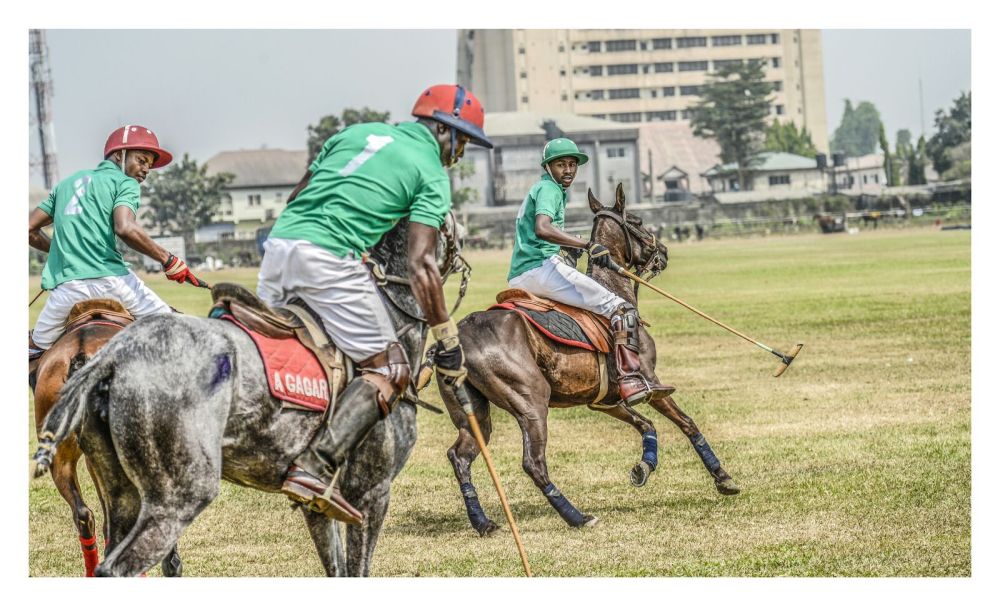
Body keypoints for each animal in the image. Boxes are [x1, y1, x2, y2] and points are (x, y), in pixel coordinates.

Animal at [434, 183, 740, 536]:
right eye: (637, 220)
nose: (663, 251)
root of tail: (462, 338)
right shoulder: (651, 382)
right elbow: (686, 422)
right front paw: (724, 479)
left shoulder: (606, 399)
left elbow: (646, 425)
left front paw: (644, 467)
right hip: (531, 401)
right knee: (532, 462)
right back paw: (577, 517)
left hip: (474, 413)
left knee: (459, 456)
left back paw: (483, 523)